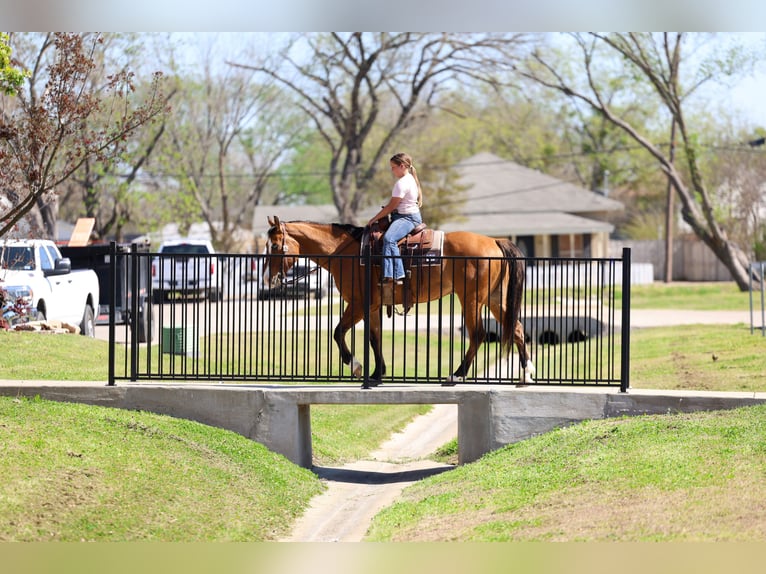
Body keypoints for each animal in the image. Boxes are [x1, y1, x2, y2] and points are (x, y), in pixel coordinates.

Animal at [264, 215, 535, 387]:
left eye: (275, 246)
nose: (267, 278)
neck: (347, 252)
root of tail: (494, 241)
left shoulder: (358, 304)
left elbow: (338, 332)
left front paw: (355, 365)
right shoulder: (372, 307)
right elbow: (374, 338)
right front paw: (377, 374)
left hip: (471, 299)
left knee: (478, 334)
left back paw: (456, 375)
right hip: (495, 299)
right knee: (517, 328)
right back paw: (526, 374)